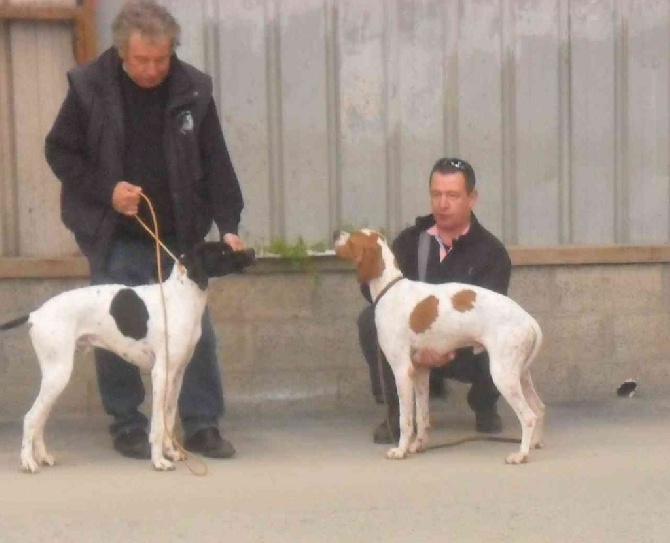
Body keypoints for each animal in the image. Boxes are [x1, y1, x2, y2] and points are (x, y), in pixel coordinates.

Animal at [336, 228, 544, 464]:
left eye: (352, 239)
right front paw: (418, 445)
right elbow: (422, 416)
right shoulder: (420, 370)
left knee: (528, 416)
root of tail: (528, 319)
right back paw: (535, 443)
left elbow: (405, 419)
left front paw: (401, 449)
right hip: (520, 375)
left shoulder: (401, 370)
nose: (336, 233)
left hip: (502, 374)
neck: (390, 289)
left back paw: (521, 454)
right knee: (539, 408)